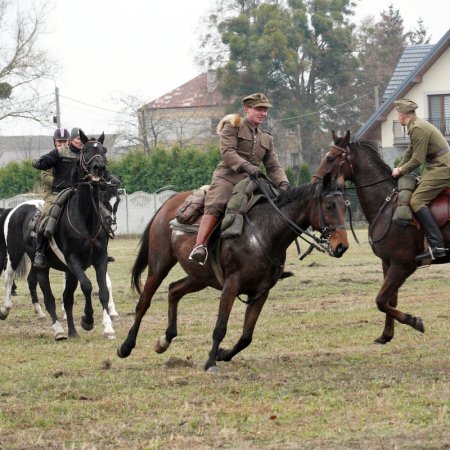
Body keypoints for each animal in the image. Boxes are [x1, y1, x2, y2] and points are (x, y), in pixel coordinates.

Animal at [0, 132, 116, 340]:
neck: (85, 218)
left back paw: (70, 331)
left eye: (103, 150)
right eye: (87, 150)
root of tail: (15, 210)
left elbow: (102, 290)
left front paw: (108, 328)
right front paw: (88, 320)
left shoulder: (99, 259)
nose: (99, 167)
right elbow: (87, 286)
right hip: (19, 257)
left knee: (56, 294)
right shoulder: (73, 261)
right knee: (19, 282)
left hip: (50, 267)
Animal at [118, 174, 350, 370]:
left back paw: (165, 340)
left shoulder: (260, 292)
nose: (342, 246)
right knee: (144, 302)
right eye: (329, 206)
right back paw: (126, 346)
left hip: (200, 278)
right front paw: (211, 362)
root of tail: (169, 203)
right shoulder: (231, 285)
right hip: (159, 266)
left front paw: (222, 354)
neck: (264, 232)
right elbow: (220, 326)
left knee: (174, 290)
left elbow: (246, 336)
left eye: (344, 206)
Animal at [312, 130, 450, 344]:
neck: (386, 207)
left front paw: (414, 321)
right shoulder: (388, 263)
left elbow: (381, 300)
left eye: (331, 158)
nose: (315, 184)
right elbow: (390, 301)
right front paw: (386, 335)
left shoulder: (402, 265)